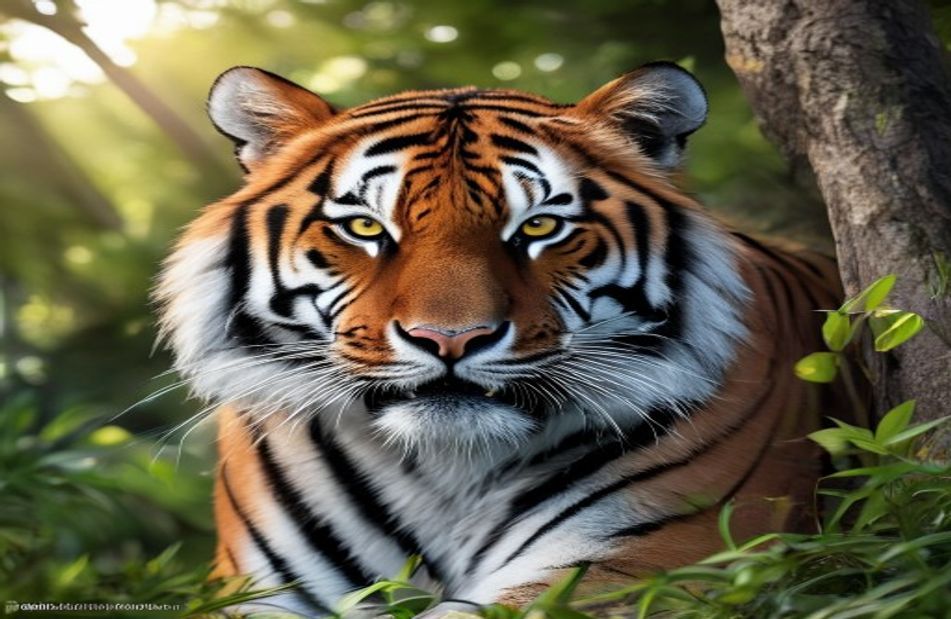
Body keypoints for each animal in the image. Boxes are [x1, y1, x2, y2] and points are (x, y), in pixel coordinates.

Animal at [155, 61, 845, 616]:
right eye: (365, 228)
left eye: (539, 227)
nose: (449, 339)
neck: (443, 470)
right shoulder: (258, 587)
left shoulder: (651, 560)